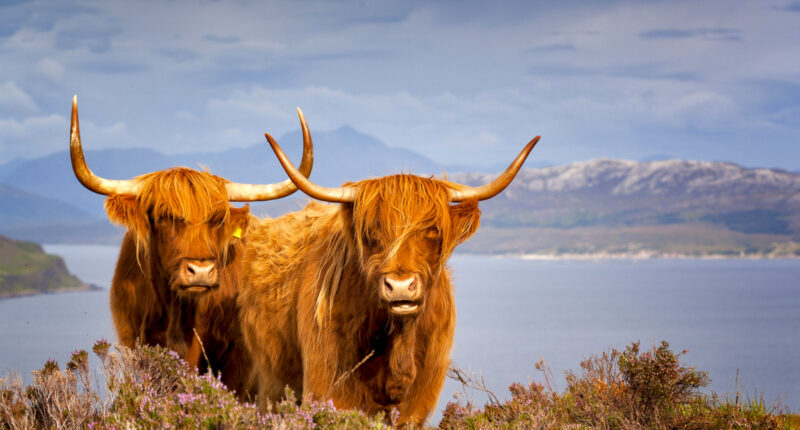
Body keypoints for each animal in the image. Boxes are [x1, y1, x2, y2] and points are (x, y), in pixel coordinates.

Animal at [238, 130, 536, 424]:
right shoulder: (330, 390)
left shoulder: (418, 405)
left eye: (432, 229)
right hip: (271, 384)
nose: (401, 286)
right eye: (372, 231)